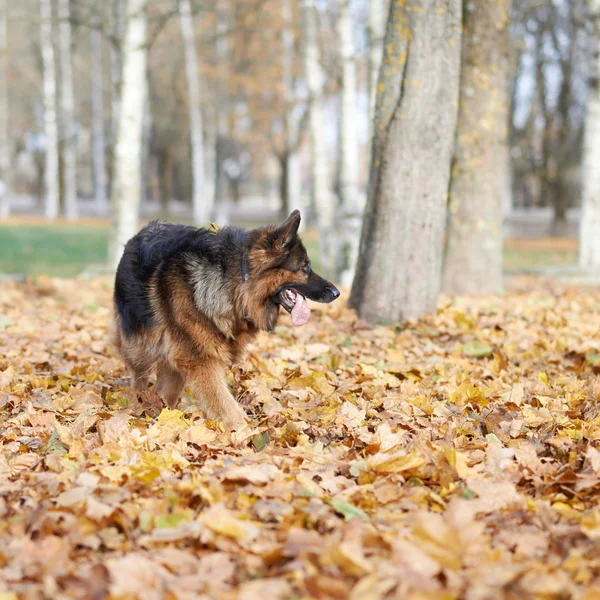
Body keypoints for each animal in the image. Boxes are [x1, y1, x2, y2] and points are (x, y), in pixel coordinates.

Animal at [111, 211, 338, 432]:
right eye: (305, 267)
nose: (337, 293)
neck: (236, 283)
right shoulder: (201, 361)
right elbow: (226, 405)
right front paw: (244, 432)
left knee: (165, 388)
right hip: (138, 345)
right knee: (139, 375)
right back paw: (139, 403)